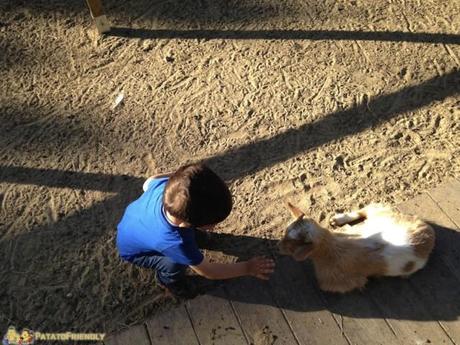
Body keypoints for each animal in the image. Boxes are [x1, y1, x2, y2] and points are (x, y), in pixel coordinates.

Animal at [276, 202, 434, 292]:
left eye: (291, 246)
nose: (278, 247)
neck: (331, 248)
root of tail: (429, 231)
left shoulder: (339, 283)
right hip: (381, 214)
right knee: (367, 209)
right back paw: (337, 219)